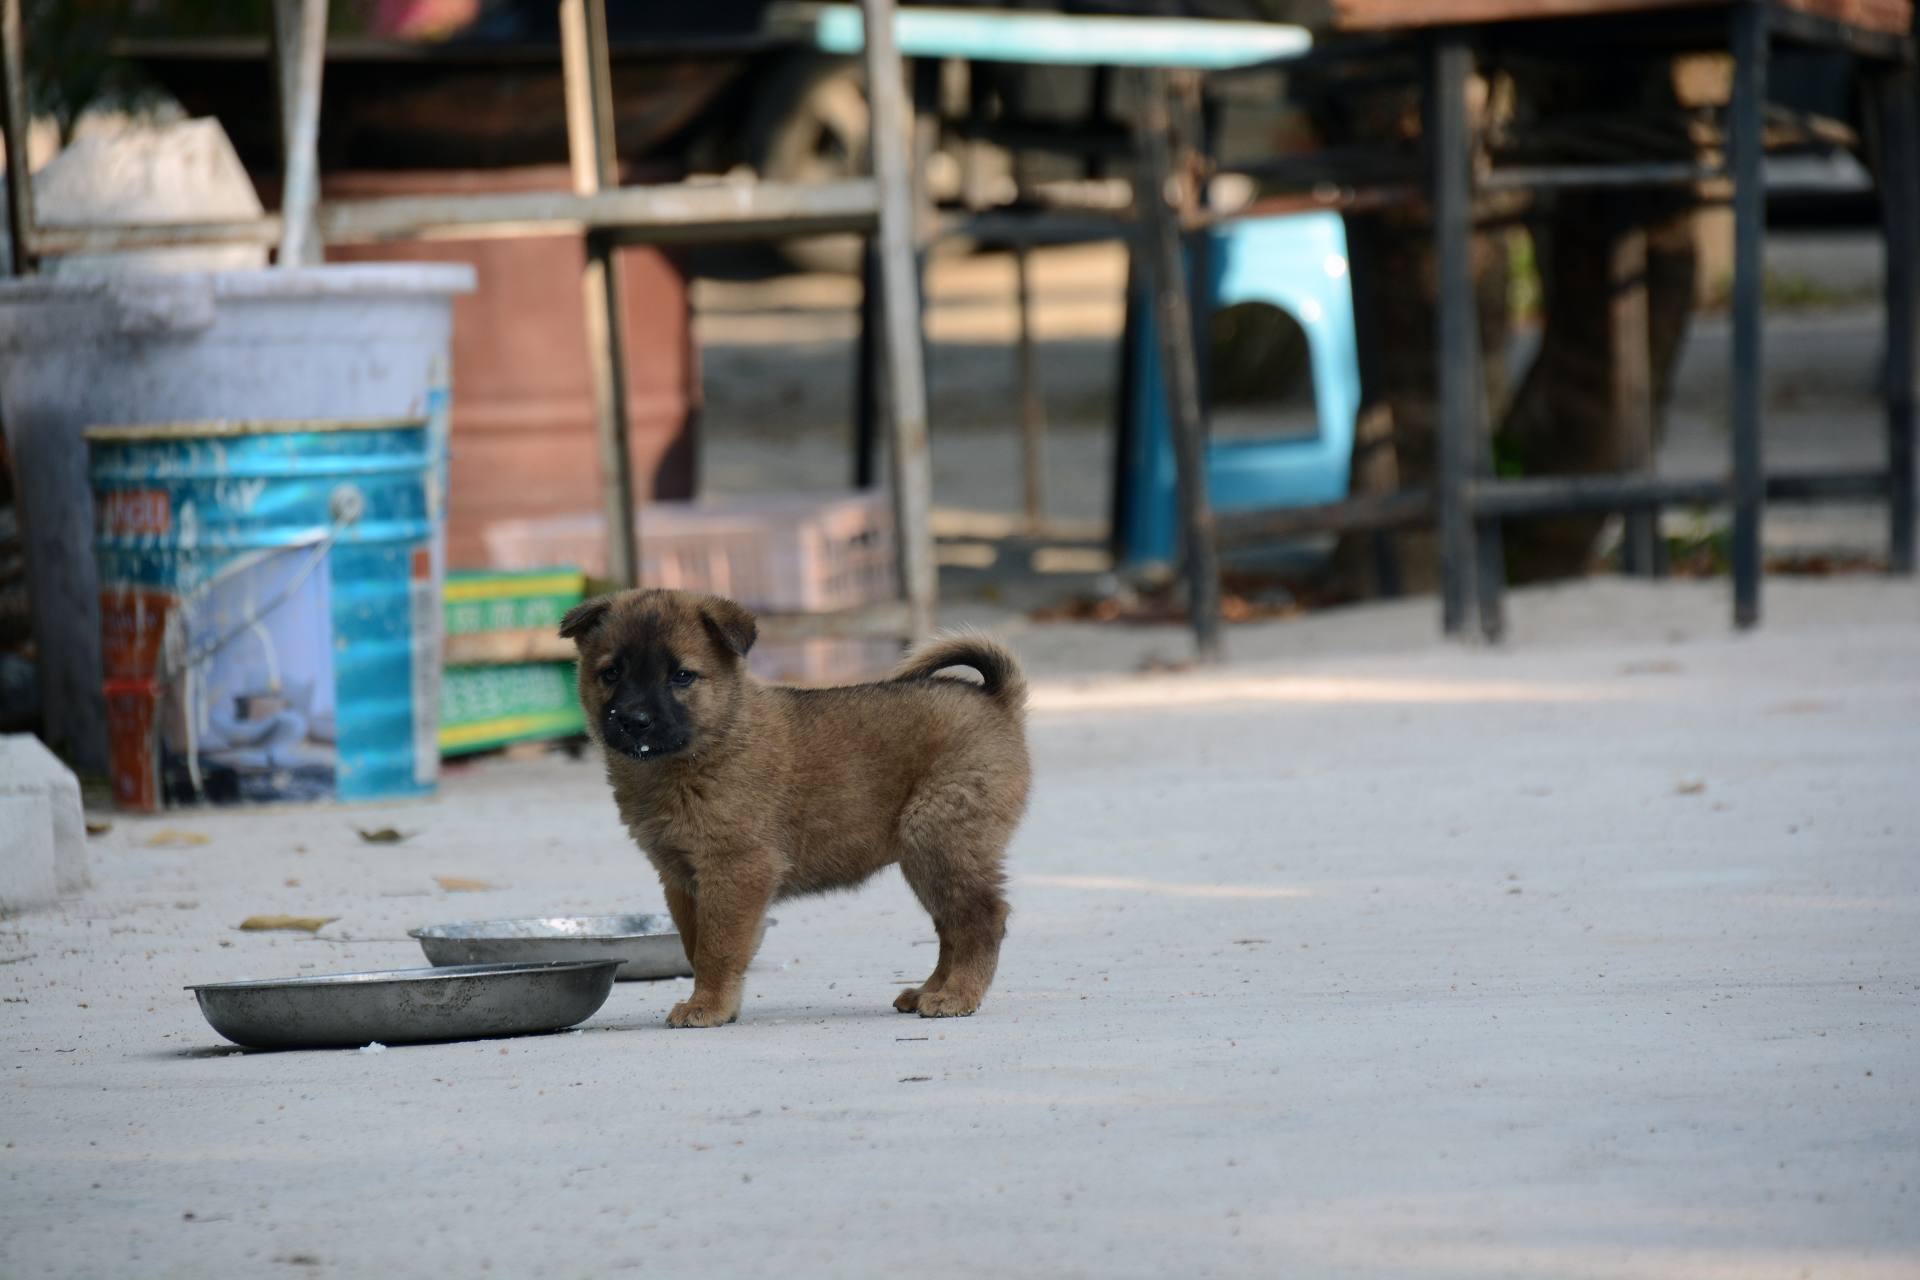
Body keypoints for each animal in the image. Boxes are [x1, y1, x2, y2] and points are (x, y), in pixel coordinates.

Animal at [560, 594, 1029, 1028]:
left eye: (681, 676)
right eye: (611, 673)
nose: (634, 720)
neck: (708, 746)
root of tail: (994, 699)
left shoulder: (737, 869)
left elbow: (717, 948)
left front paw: (707, 1005)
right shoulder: (681, 877)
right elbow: (696, 946)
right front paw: (717, 1003)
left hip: (939, 839)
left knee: (981, 918)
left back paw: (957, 995)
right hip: (932, 856)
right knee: (951, 926)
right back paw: (929, 991)